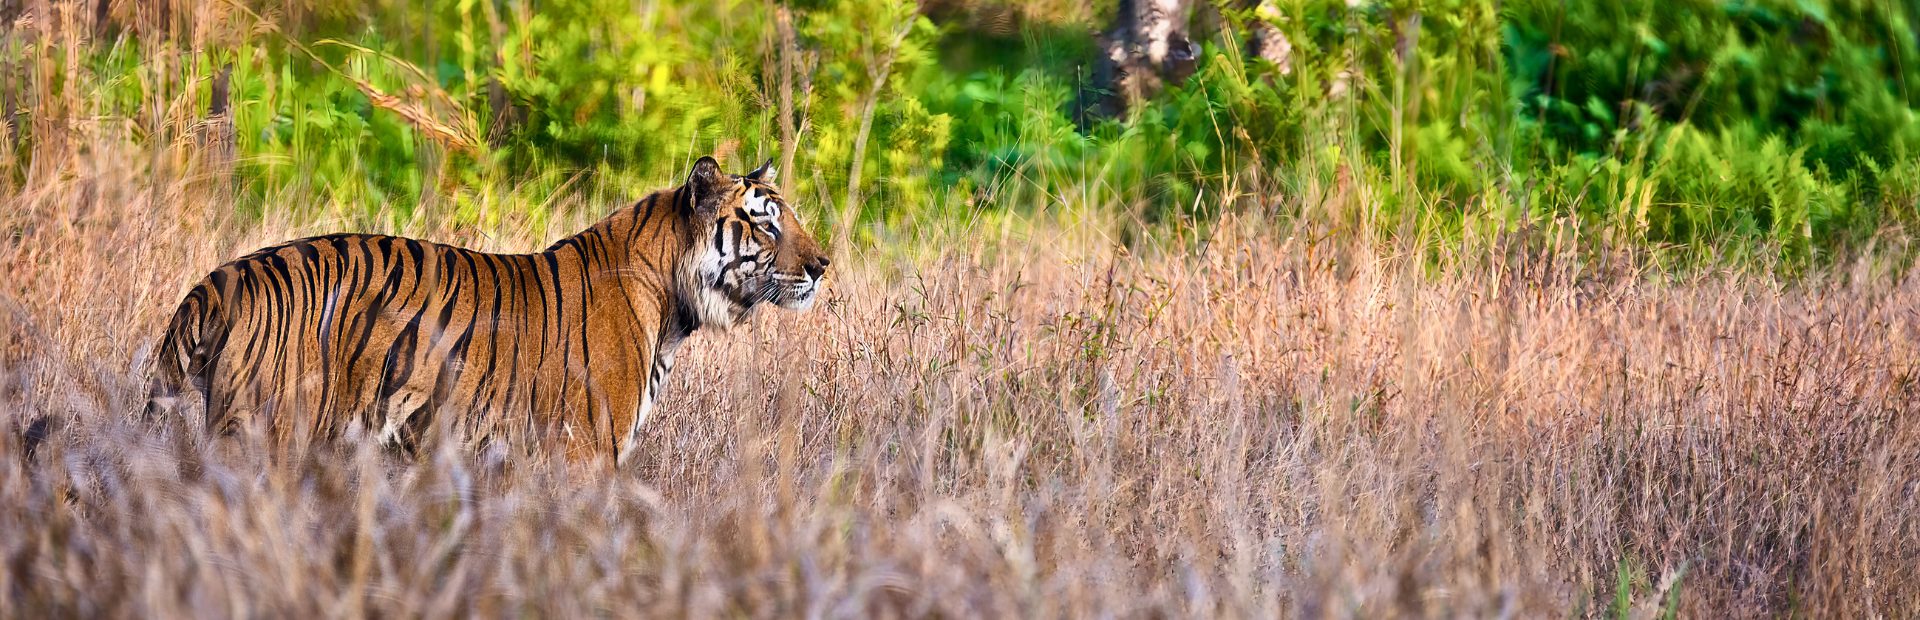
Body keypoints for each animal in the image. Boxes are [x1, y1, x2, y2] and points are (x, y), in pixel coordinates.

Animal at [143, 156, 828, 466]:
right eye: (766, 224)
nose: (823, 265)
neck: (672, 304)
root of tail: (220, 279)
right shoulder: (584, 453)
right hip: (266, 435)